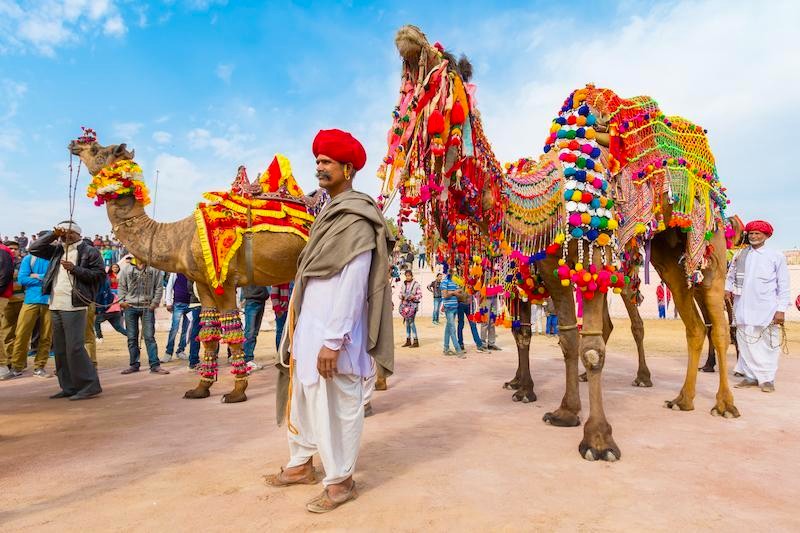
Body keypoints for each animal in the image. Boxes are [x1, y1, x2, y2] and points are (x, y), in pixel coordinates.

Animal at [69, 138, 306, 403]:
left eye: (97, 150)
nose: (75, 144)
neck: (179, 238)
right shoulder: (203, 283)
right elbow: (209, 334)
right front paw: (201, 388)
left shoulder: (224, 282)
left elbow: (232, 332)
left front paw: (236, 392)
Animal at [381, 25, 738, 461]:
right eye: (406, 83)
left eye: (441, 66)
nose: (407, 36)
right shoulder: (550, 274)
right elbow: (564, 339)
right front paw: (563, 410)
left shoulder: (590, 261)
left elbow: (591, 347)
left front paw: (598, 440)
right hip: (668, 255)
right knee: (693, 324)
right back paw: (682, 399)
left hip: (702, 241)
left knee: (711, 322)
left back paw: (717, 402)